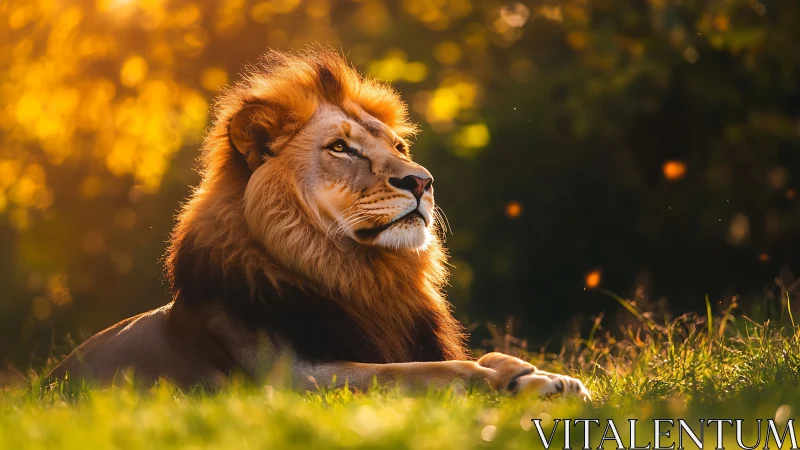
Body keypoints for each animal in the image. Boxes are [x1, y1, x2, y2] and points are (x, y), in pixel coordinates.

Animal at [49, 49, 589, 399]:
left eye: (398, 146)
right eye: (341, 148)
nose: (423, 181)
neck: (359, 277)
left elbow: (466, 358)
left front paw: (546, 377)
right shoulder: (291, 379)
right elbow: (426, 371)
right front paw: (507, 382)